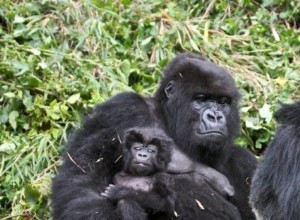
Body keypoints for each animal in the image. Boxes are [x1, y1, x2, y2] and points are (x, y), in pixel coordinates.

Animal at [51, 52, 255, 218]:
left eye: (223, 102)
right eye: (201, 99)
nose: (216, 116)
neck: (168, 121)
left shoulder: (241, 160)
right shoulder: (122, 110)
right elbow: (84, 182)